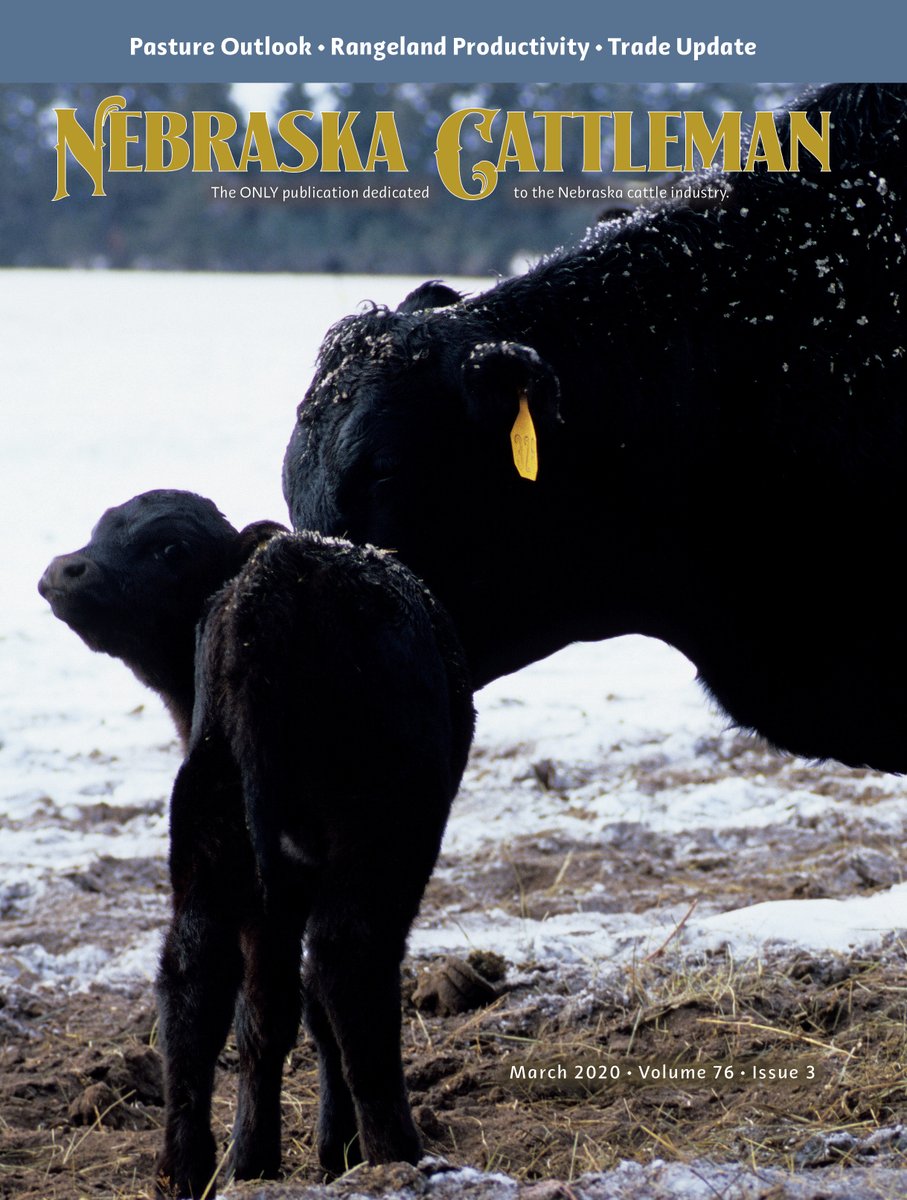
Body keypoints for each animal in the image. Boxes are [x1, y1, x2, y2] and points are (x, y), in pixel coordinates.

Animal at [38, 490, 474, 1198]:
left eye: (169, 547)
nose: (65, 569)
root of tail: (271, 587)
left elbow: (266, 1011)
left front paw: (260, 1159)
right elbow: (302, 1009)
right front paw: (333, 1150)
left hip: (211, 826)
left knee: (193, 977)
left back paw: (185, 1170)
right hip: (383, 833)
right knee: (348, 960)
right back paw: (397, 1154)